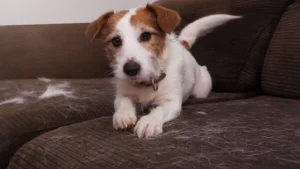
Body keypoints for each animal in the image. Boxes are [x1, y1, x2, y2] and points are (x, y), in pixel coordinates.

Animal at [85, 3, 240, 138]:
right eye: (116, 41)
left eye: (146, 35)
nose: (130, 69)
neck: (146, 83)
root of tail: (183, 44)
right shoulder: (122, 95)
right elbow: (123, 103)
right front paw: (123, 115)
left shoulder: (172, 102)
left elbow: (159, 110)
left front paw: (149, 121)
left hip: (202, 89)